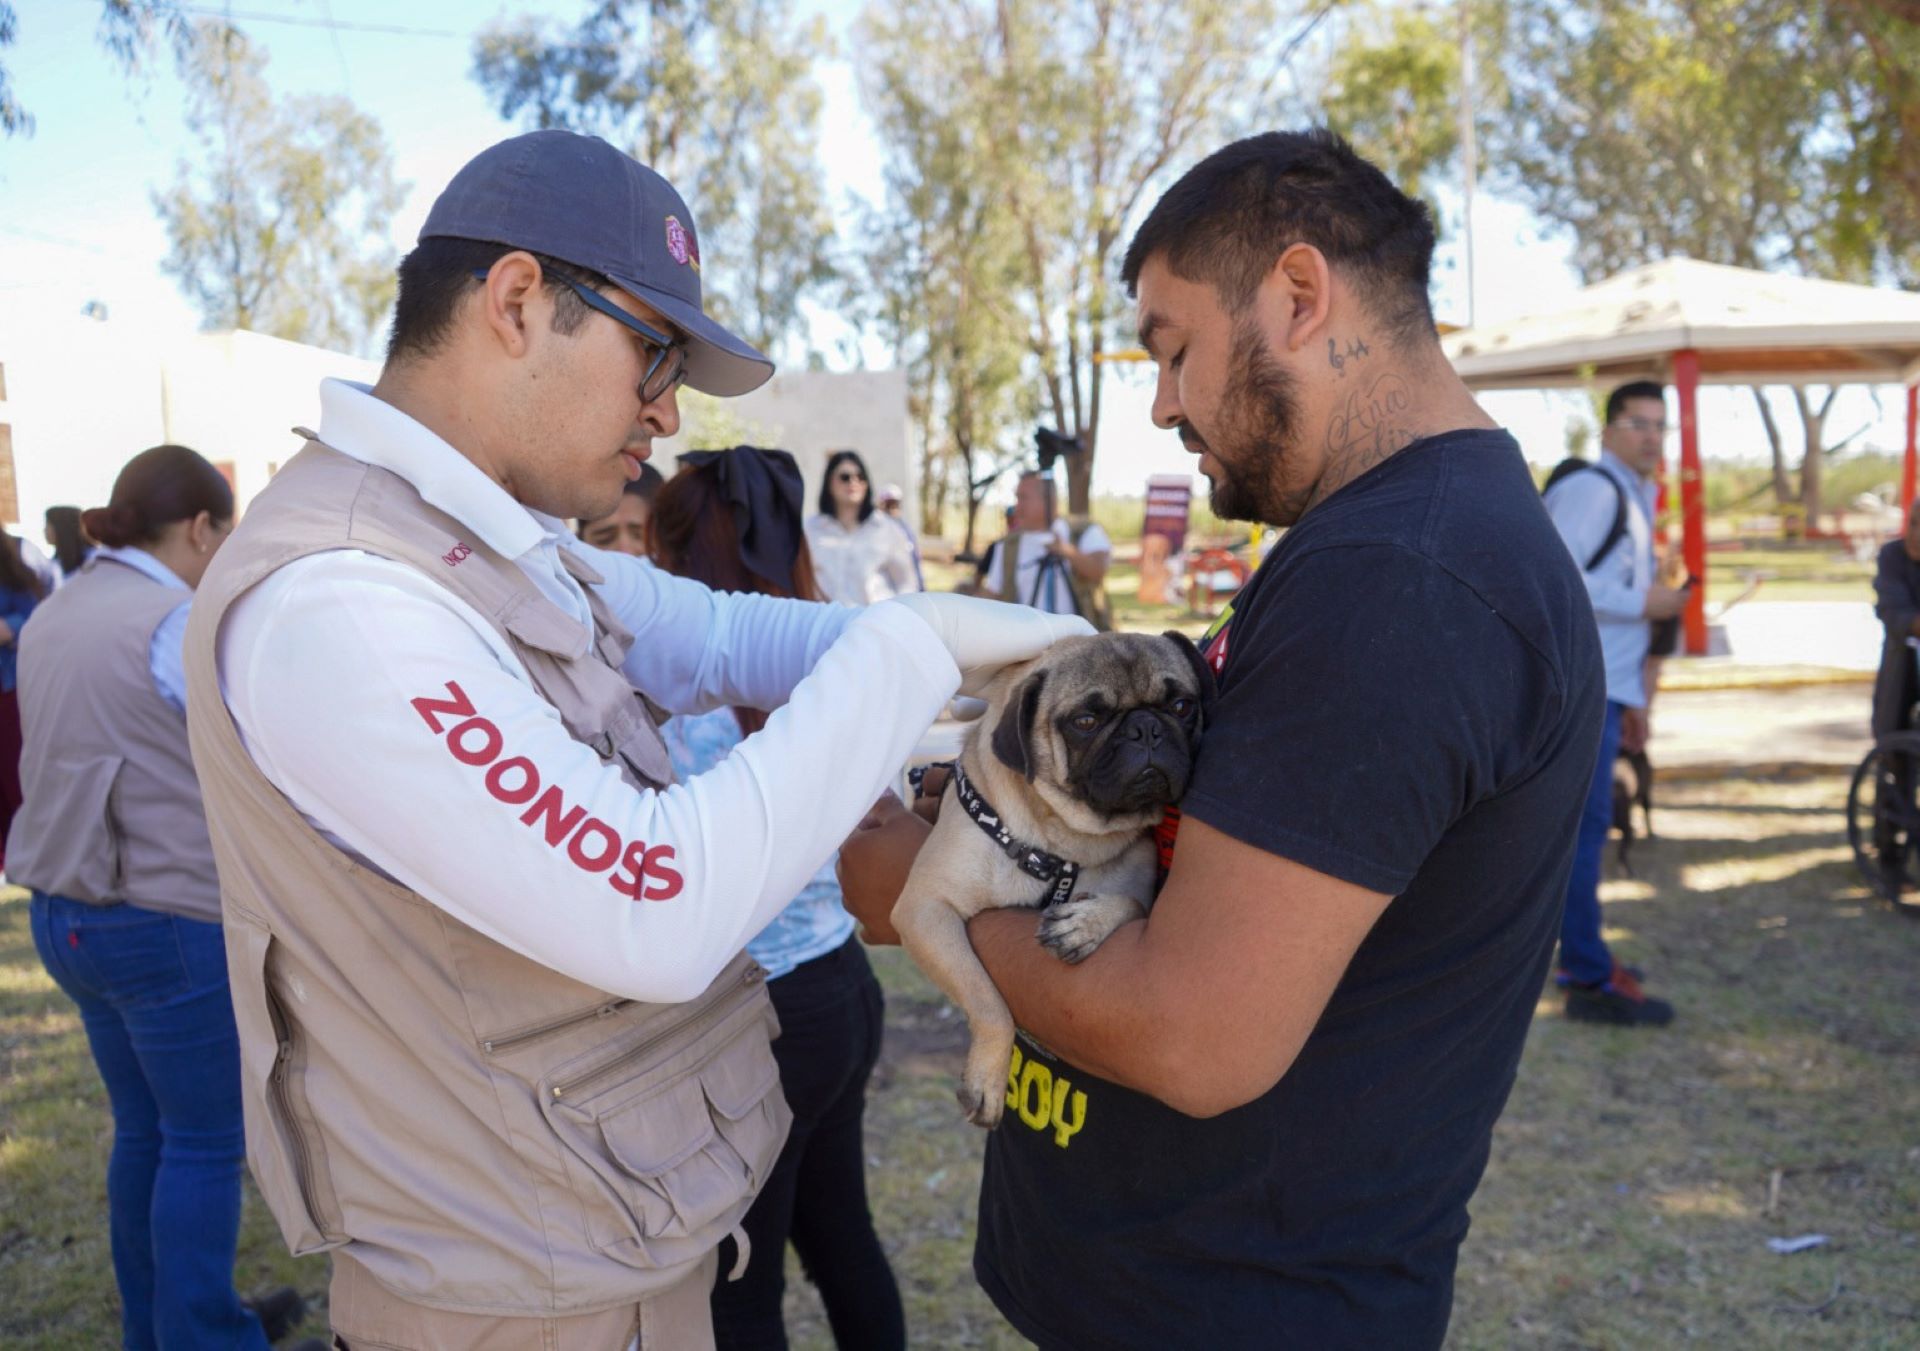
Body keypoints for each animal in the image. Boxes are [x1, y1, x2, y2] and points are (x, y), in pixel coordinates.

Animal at [887, 633, 1213, 1128]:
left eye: (1181, 706)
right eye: (1085, 721)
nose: (1146, 728)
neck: (1066, 843)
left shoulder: (1138, 888)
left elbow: (1131, 903)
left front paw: (1084, 923)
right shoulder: (926, 910)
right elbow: (988, 1002)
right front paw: (987, 1078)